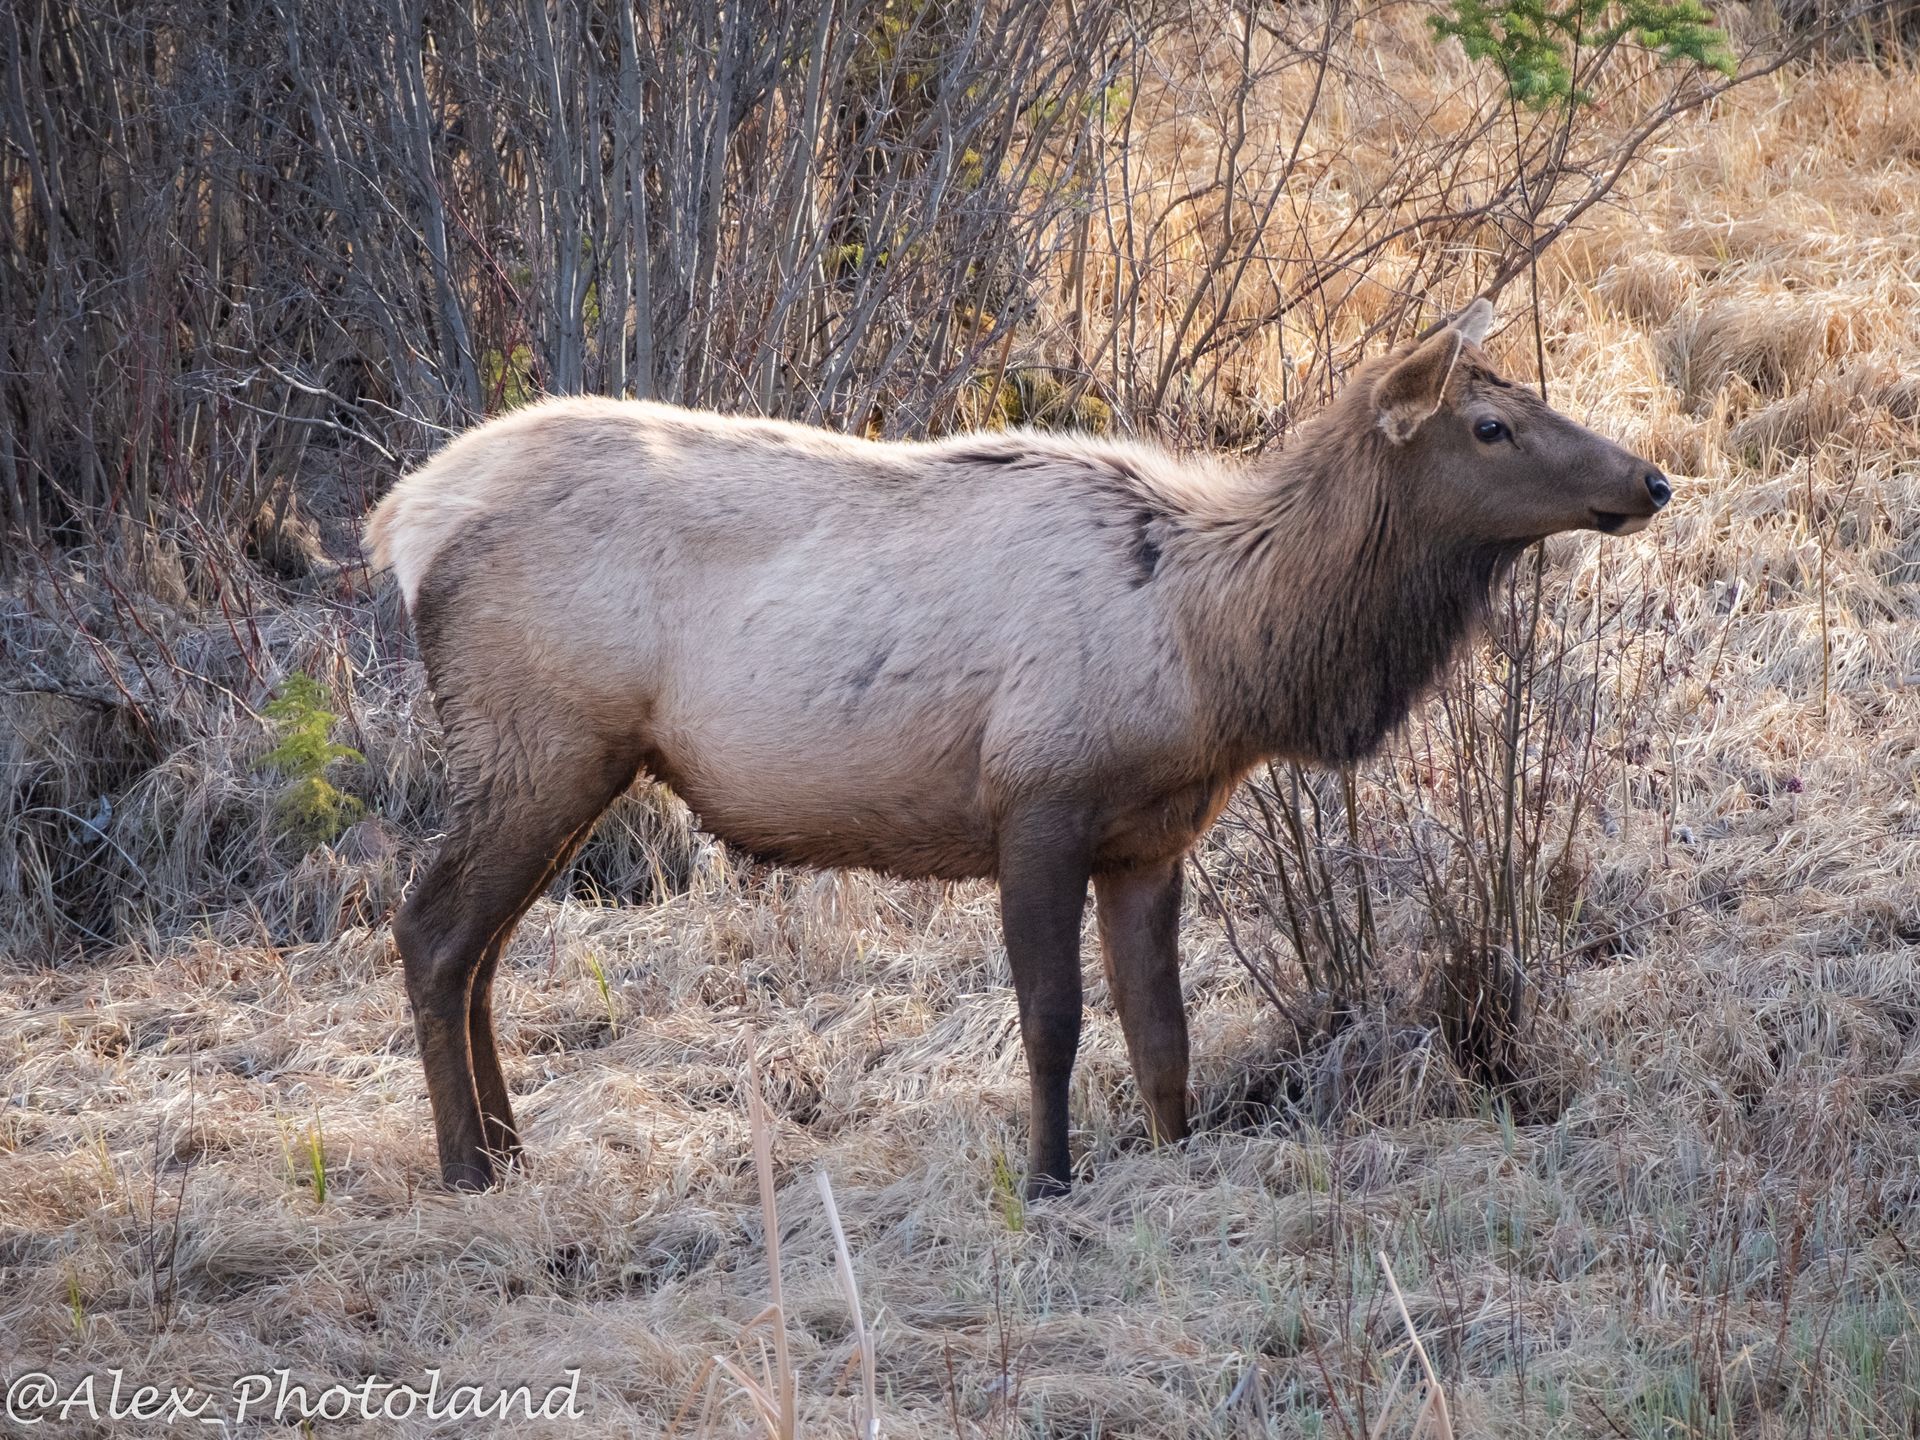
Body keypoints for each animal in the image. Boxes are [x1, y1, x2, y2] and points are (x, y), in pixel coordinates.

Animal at [364, 298, 1671, 1197]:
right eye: (1492, 424)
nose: (1653, 479)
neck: (1223, 656)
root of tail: (404, 521)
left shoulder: (1151, 837)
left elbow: (1162, 1029)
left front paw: (1172, 1156)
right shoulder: (1037, 797)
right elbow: (1052, 1017)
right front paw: (1049, 1180)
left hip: (564, 762)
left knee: (482, 951)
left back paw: (512, 1152)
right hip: (538, 738)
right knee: (433, 932)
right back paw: (469, 1169)